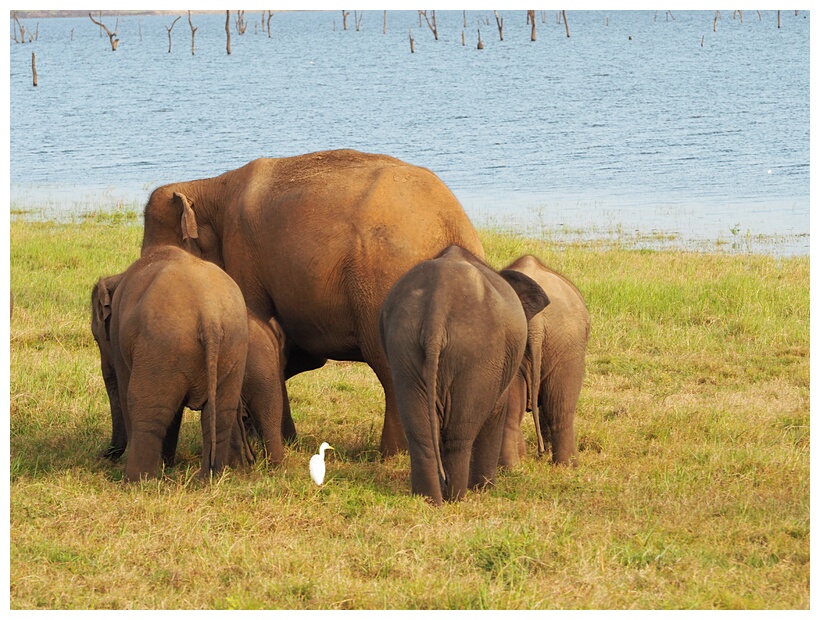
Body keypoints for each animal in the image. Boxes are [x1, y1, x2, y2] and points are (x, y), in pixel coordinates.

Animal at [90, 245, 250, 482]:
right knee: (220, 414)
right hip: (232, 348)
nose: (102, 456)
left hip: (162, 344)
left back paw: (135, 481)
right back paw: (208, 478)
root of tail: (210, 317)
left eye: (96, 338)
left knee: (146, 408)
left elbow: (125, 390)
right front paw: (166, 464)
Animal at [139, 147, 486, 456]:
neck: (210, 185)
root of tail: (451, 225)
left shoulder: (243, 254)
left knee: (389, 366)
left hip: (379, 285)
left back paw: (391, 453)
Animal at [380, 242, 552, 504]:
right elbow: (496, 412)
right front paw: (485, 489)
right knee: (460, 434)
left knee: (421, 432)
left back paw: (429, 500)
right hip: (477, 353)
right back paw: (457, 497)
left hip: (403, 345)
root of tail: (439, 299)